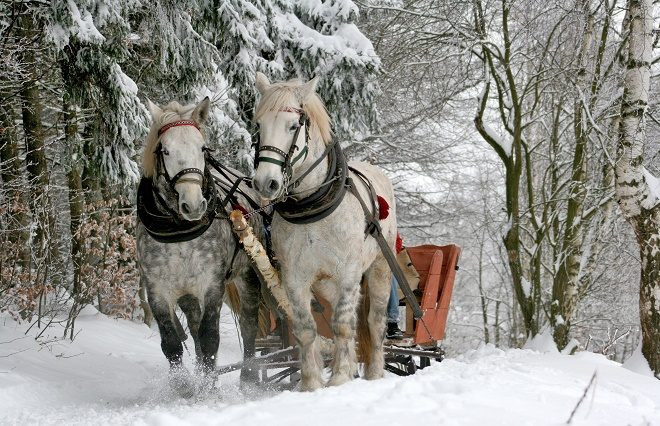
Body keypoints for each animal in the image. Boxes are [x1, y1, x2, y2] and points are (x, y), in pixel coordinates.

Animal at [137, 97, 260, 396]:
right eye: (165, 150)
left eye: (202, 148)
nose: (193, 205)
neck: (179, 231)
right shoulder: (157, 290)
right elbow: (171, 342)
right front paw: (185, 387)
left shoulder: (212, 284)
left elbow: (210, 337)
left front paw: (208, 387)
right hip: (187, 293)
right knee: (193, 327)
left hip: (247, 275)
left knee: (249, 323)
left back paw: (249, 377)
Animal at [251, 72, 398, 390]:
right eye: (259, 125)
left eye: (293, 125)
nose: (266, 183)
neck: (313, 207)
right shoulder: (295, 278)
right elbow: (306, 329)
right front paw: (311, 383)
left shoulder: (348, 274)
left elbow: (342, 325)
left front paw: (340, 377)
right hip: (325, 285)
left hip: (380, 267)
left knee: (374, 321)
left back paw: (374, 372)